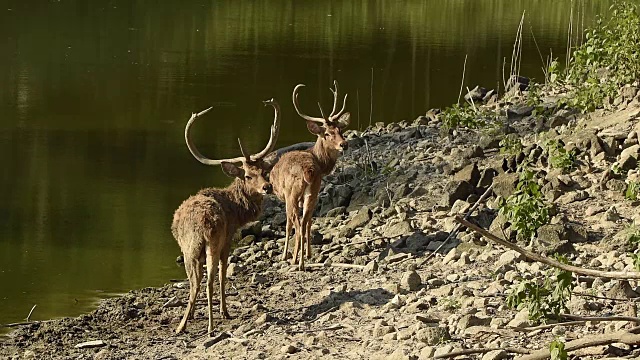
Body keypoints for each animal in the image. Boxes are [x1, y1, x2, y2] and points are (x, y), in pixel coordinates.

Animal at [171, 98, 278, 334]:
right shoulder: (228, 239)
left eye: (264, 172)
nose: (267, 187)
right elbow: (222, 275)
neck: (236, 212)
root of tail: (203, 226)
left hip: (191, 249)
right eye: (247, 176)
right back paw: (207, 324)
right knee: (208, 280)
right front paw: (224, 311)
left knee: (196, 282)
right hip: (210, 243)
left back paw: (185, 325)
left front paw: (194, 314)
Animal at [268, 81, 350, 270]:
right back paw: (302, 261)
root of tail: (308, 171)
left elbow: (288, 224)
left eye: (340, 130)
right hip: (312, 191)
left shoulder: (286, 196)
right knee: (306, 222)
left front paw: (285, 255)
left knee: (297, 225)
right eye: (327, 133)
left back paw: (296, 261)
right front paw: (309, 253)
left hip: (292, 194)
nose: (344, 144)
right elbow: (309, 221)